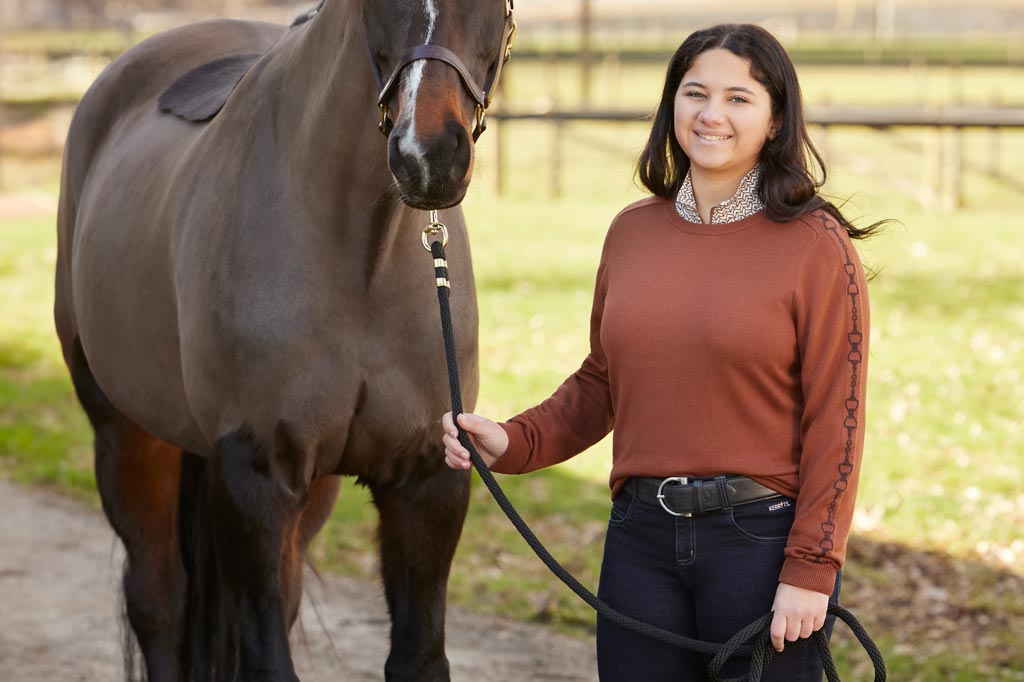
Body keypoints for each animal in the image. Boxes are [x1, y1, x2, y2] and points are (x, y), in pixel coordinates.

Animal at [51, 1, 516, 679]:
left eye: (499, 7)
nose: (426, 154)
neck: (363, 258)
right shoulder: (254, 478)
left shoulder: (430, 478)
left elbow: (419, 658)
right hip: (127, 435)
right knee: (158, 602)